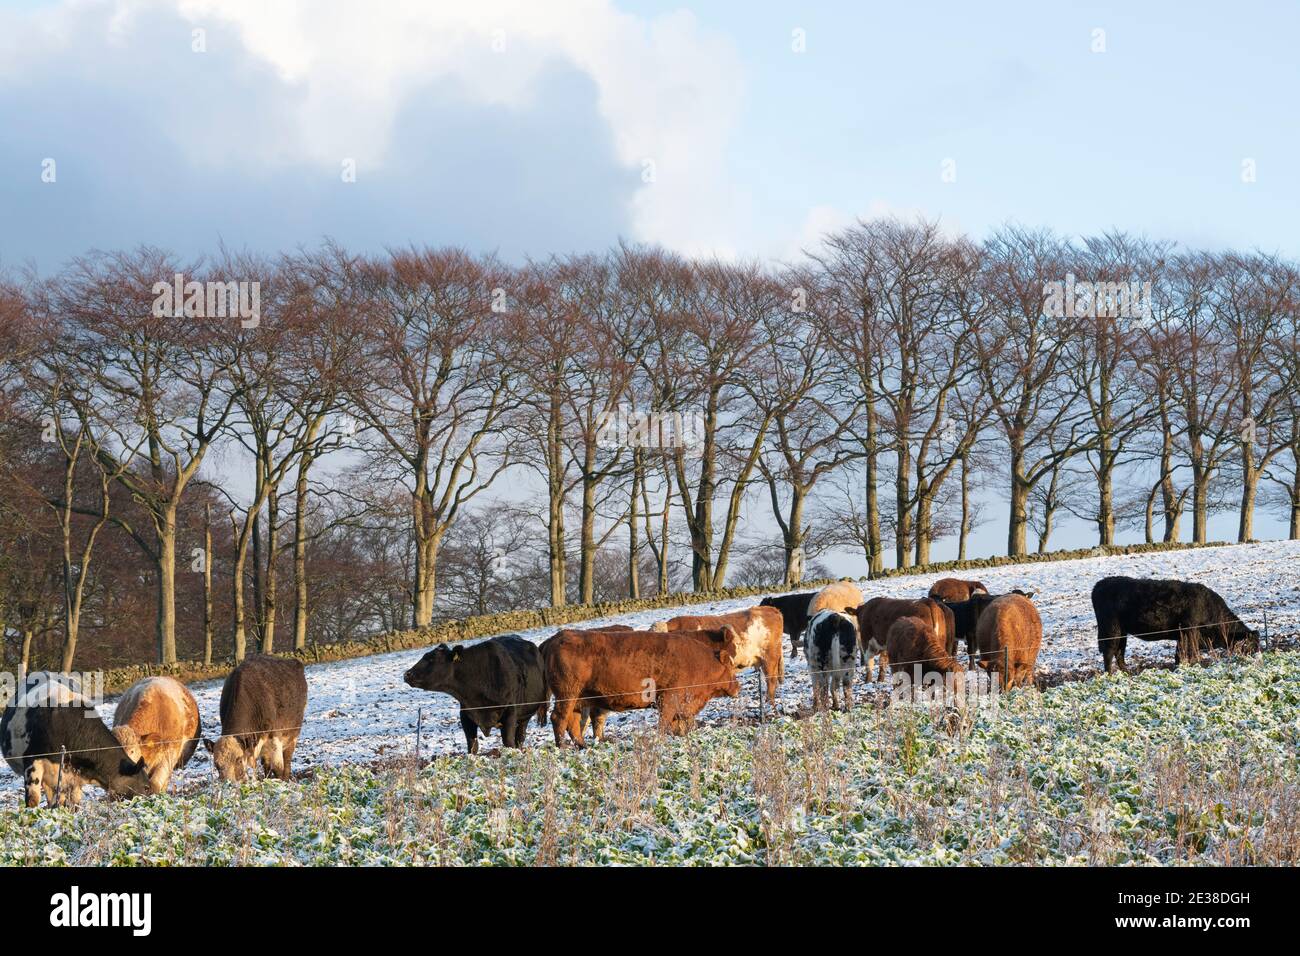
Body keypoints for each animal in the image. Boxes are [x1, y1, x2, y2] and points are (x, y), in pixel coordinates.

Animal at [405, 634, 548, 754]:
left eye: (432, 659)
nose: (407, 674)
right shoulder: (466, 715)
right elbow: (472, 746)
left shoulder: (510, 713)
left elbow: (508, 742)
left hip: (525, 716)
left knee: (520, 738)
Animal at [540, 629, 743, 749]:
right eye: (730, 667)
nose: (737, 686)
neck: (699, 662)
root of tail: (557, 637)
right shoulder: (668, 699)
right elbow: (665, 722)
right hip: (567, 695)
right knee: (559, 718)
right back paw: (562, 747)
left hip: (578, 699)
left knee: (573, 722)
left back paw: (582, 745)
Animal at [1086, 574, 1258, 671]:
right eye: (1252, 645)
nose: (1257, 658)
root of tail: (1100, 584)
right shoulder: (1190, 629)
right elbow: (1191, 652)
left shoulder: (1181, 635)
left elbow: (1179, 655)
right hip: (1110, 628)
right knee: (1109, 652)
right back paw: (1111, 675)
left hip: (1122, 631)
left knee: (1119, 652)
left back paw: (1127, 673)